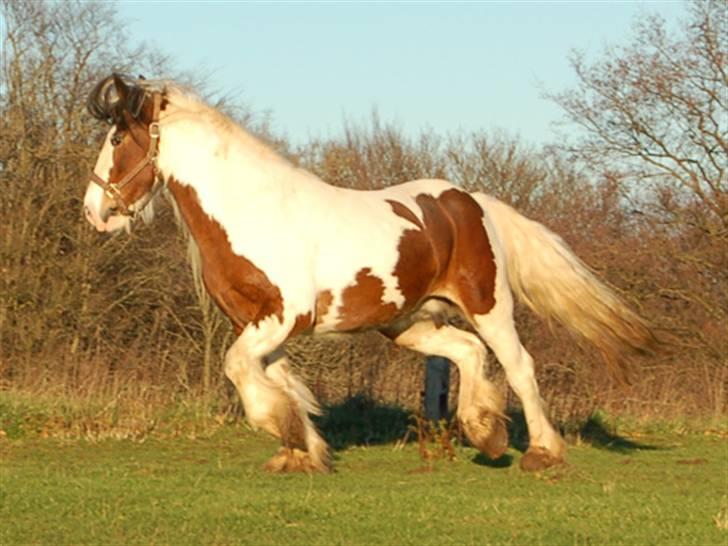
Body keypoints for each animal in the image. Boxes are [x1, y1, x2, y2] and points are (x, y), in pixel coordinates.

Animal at [82, 73, 656, 472]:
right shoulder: (257, 324)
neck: (252, 211)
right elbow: (275, 378)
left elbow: (240, 370)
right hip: (408, 322)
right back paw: (485, 433)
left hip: (488, 305)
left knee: (519, 365)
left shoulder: (281, 318)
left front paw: (286, 433)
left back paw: (541, 452)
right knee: (467, 353)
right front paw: (300, 450)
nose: (95, 212)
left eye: (117, 141)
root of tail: (472, 202)